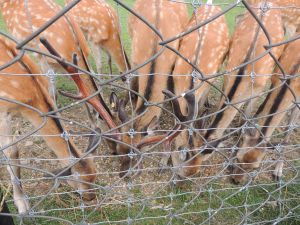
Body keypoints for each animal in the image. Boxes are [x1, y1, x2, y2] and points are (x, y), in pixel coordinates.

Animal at [0, 36, 99, 214]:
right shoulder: (3, 113)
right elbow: (12, 151)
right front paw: (22, 204)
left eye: (95, 175)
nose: (90, 197)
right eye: (79, 182)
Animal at [232, 32, 300, 184]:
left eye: (255, 168)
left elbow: (289, 130)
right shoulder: (275, 79)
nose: (236, 181)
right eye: (237, 158)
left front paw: (278, 172)